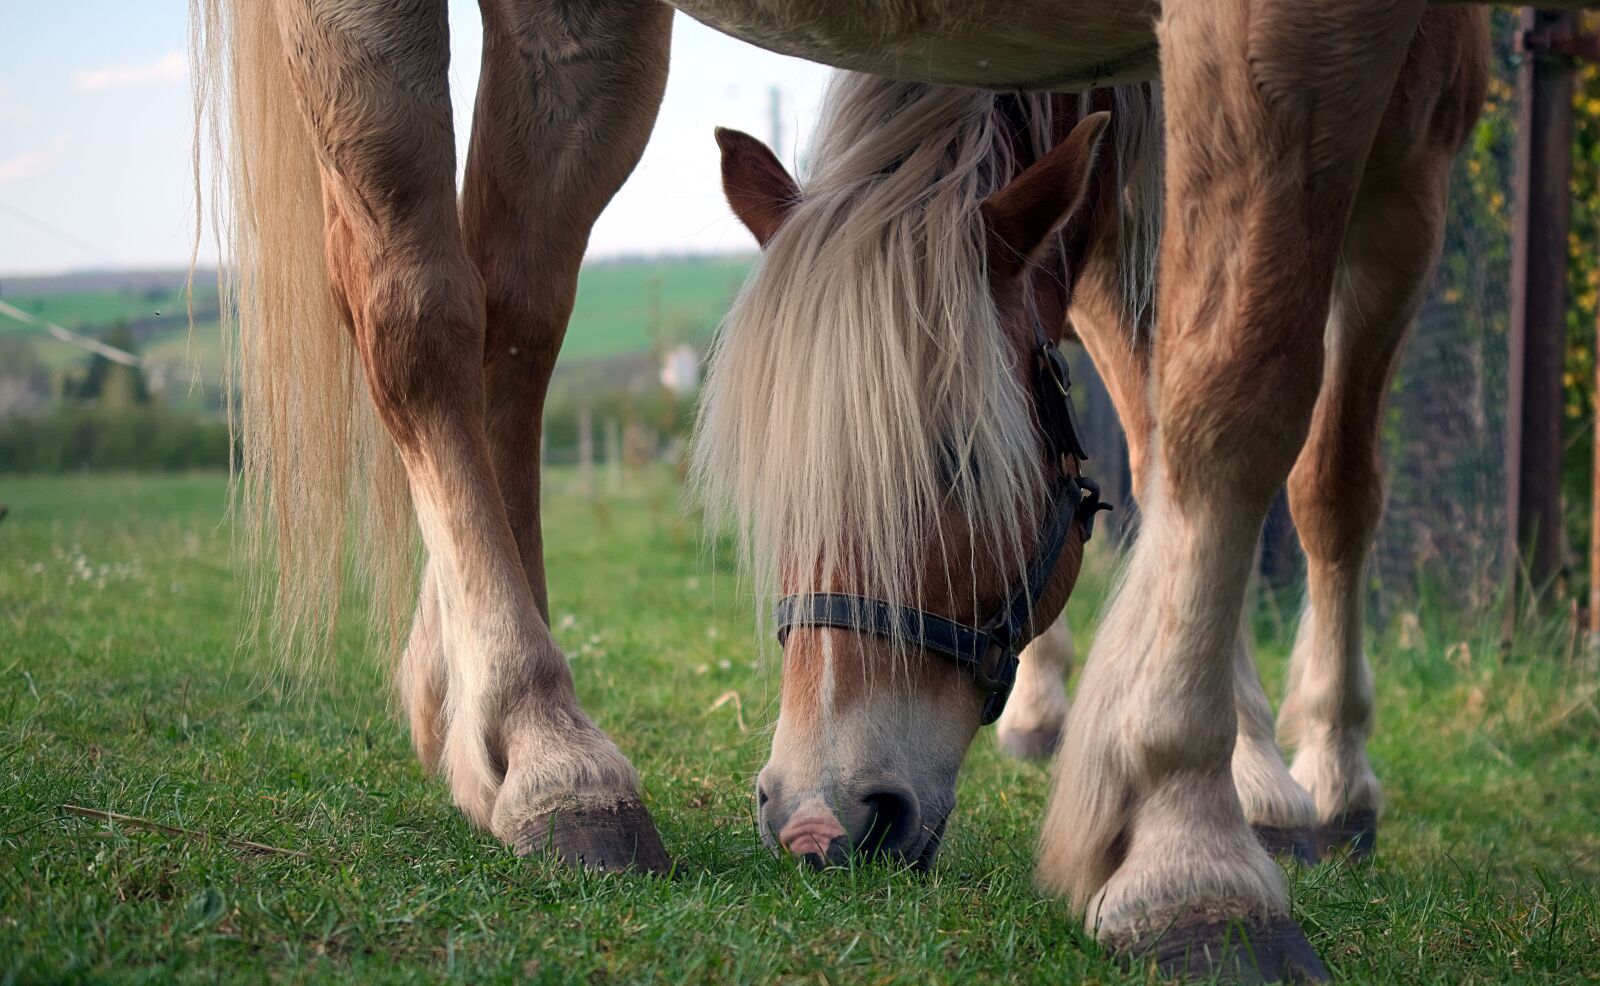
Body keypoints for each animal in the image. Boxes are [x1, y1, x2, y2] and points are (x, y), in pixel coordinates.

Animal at [193, 0, 1515, 979]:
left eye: (963, 465)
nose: (823, 819)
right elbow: (1245, 401)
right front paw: (1196, 842)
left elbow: (1226, 432)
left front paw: (1262, 765)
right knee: (419, 311)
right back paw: (543, 743)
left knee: (512, 309)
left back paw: (469, 720)